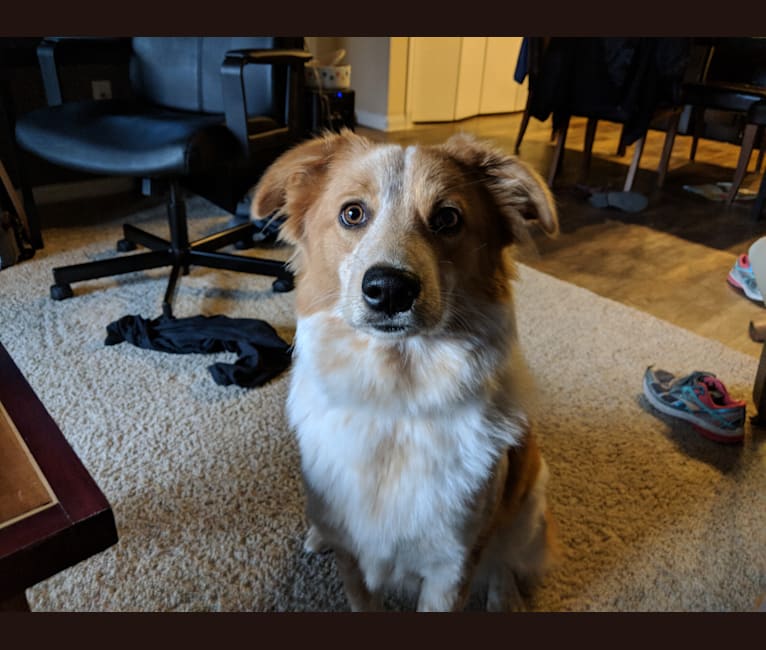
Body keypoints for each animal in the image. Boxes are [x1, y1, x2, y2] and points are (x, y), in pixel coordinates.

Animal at [255, 130, 560, 608]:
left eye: (447, 218)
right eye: (352, 213)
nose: (389, 289)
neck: (395, 400)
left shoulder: (451, 567)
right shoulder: (353, 560)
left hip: (531, 502)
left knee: (506, 557)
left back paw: (505, 598)